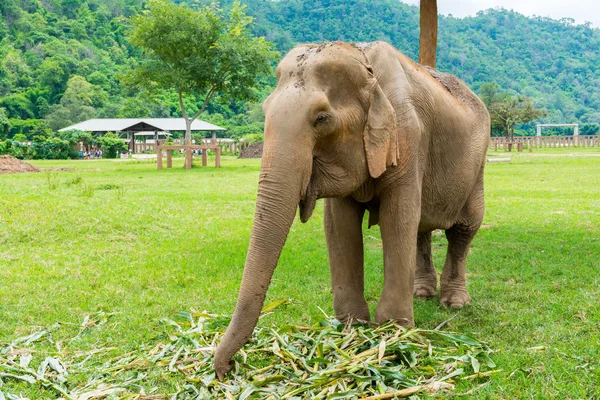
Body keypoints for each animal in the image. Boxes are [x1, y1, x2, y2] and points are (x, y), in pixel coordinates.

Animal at [213, 39, 490, 378]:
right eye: (264, 111)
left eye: (321, 119)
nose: (226, 368)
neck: (364, 60)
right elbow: (339, 225)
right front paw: (352, 326)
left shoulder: (408, 138)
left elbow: (397, 219)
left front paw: (392, 330)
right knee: (422, 228)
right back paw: (421, 294)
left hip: (478, 166)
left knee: (464, 229)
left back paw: (454, 303)